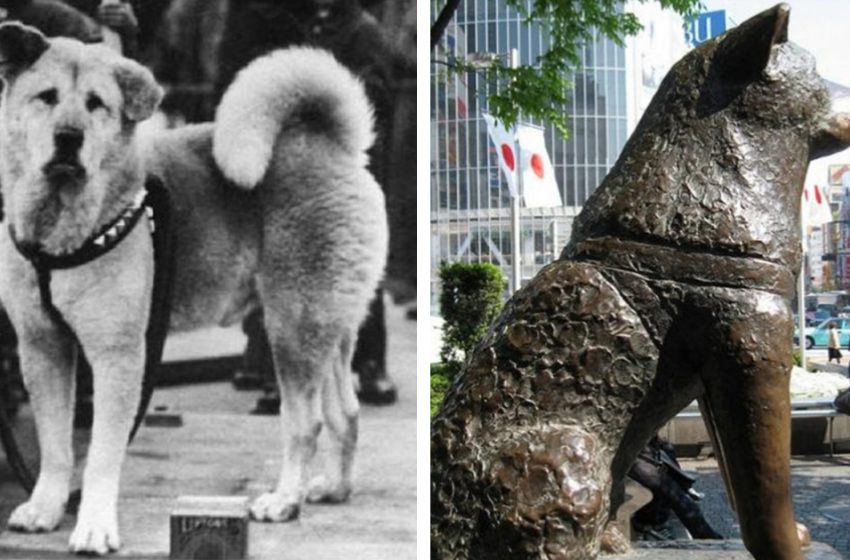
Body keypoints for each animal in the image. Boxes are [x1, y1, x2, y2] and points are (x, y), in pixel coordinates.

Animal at [0, 23, 388, 556]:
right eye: (47, 97)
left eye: (97, 103)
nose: (68, 137)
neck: (62, 232)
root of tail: (332, 145)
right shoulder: (43, 348)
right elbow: (56, 446)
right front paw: (45, 507)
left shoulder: (119, 356)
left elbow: (100, 454)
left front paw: (94, 526)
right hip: (325, 327)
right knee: (345, 412)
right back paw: (333, 488)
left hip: (291, 327)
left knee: (304, 423)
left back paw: (283, 501)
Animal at [434, 5, 848, 560]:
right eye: (817, 69)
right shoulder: (751, 347)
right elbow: (763, 488)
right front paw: (789, 546)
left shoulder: (716, 373)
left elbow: (736, 478)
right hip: (566, 453)